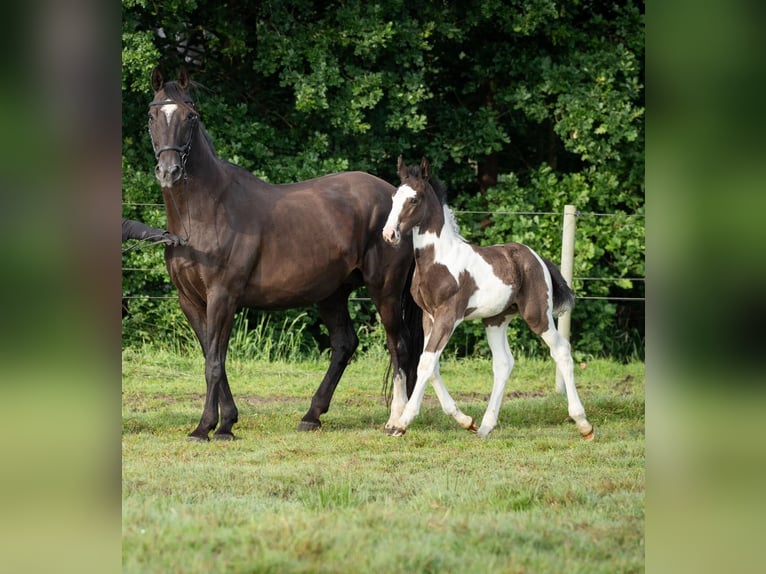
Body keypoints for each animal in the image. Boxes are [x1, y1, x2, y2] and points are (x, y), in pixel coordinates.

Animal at [147, 70, 424, 444]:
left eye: (191, 116)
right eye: (151, 115)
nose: (169, 171)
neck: (205, 213)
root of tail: (395, 200)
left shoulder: (223, 296)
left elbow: (214, 363)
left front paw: (206, 427)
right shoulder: (190, 300)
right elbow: (212, 357)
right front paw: (226, 423)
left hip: (386, 290)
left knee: (400, 347)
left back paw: (396, 420)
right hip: (332, 293)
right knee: (345, 344)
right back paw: (311, 416)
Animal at [382, 158, 592, 440]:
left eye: (413, 199)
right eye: (394, 197)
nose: (389, 234)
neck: (438, 260)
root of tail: (536, 258)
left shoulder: (448, 317)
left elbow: (426, 363)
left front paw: (402, 423)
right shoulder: (429, 317)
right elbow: (431, 365)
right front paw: (465, 420)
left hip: (538, 315)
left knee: (561, 350)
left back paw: (583, 423)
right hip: (496, 319)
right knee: (503, 363)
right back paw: (484, 426)